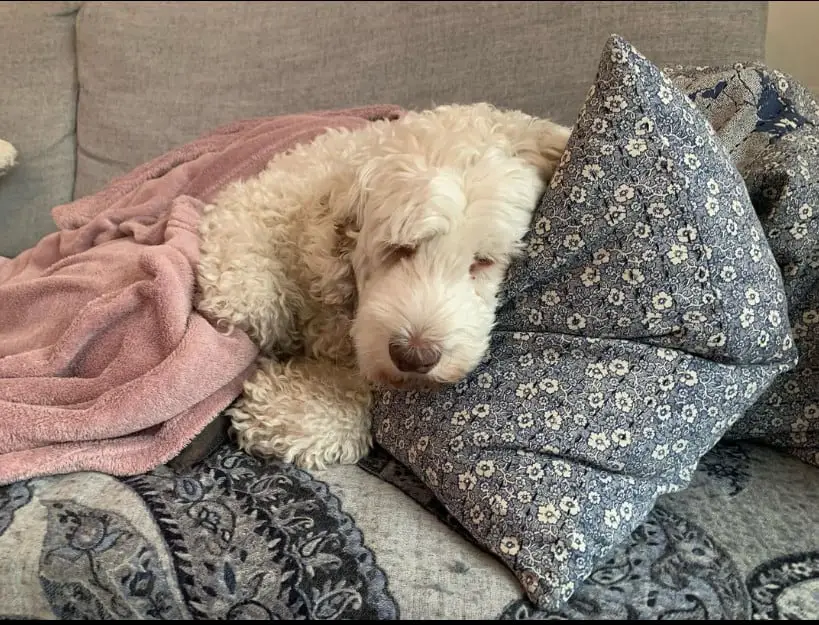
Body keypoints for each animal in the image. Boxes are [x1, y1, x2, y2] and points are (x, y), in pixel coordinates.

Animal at [198, 103, 572, 468]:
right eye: (400, 247)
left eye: (483, 261)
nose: (414, 356)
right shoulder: (279, 189)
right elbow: (245, 230)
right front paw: (246, 301)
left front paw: (283, 406)